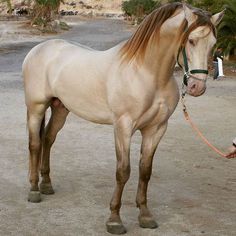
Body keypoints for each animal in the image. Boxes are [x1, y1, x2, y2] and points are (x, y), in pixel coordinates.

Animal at [23, 2, 224, 235]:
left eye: (213, 44)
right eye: (191, 40)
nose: (196, 86)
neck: (147, 73)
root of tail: (39, 49)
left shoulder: (156, 129)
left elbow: (145, 171)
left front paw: (145, 215)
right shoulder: (123, 127)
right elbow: (123, 171)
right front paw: (114, 220)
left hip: (60, 108)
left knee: (48, 139)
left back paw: (46, 185)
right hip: (36, 108)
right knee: (35, 144)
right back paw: (34, 190)